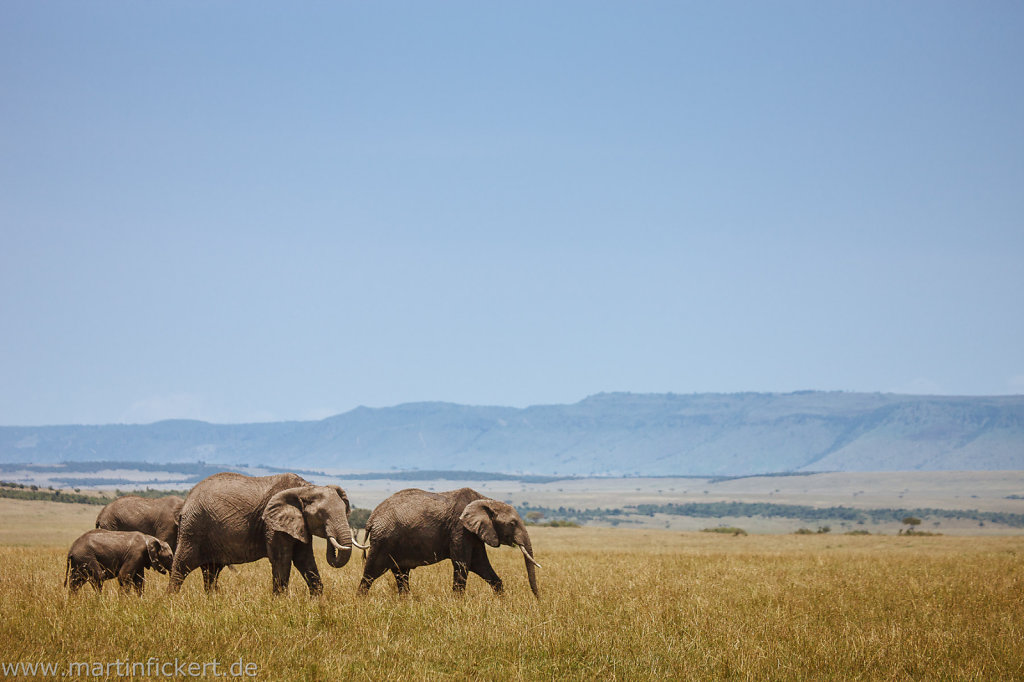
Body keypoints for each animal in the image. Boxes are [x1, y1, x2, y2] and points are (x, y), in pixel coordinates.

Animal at [164, 471, 364, 593]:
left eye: (345, 510)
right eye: (322, 515)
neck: (306, 487)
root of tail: (187, 500)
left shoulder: (298, 524)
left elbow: (305, 560)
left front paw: (318, 601)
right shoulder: (272, 524)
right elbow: (282, 560)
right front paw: (280, 604)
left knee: (211, 571)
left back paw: (211, 601)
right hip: (193, 528)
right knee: (182, 566)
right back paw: (172, 600)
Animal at [356, 489, 540, 593]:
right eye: (512, 523)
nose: (537, 599)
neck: (486, 500)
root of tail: (371, 519)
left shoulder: (473, 532)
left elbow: (480, 565)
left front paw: (502, 601)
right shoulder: (460, 528)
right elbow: (463, 564)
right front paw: (458, 604)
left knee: (401, 574)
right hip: (384, 541)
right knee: (370, 575)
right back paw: (361, 602)